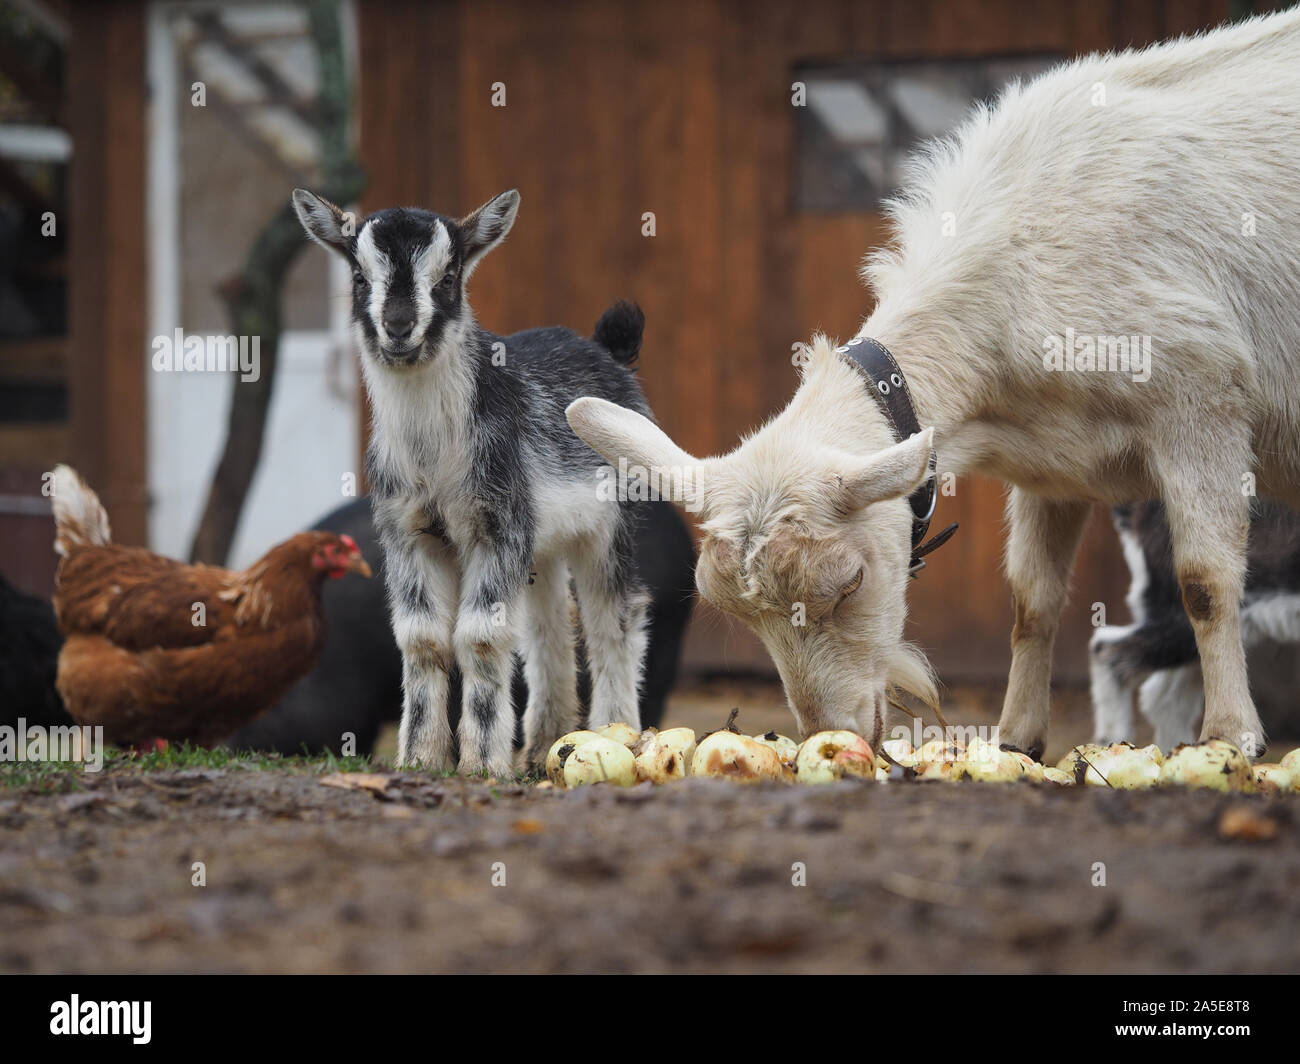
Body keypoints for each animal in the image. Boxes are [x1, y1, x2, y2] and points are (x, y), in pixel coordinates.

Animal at [293, 189, 653, 774]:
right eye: (360, 276)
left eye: (447, 277)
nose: (398, 327)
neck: (435, 454)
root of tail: (605, 350)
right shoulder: (407, 532)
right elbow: (422, 639)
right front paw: (420, 757)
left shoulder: (497, 528)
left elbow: (480, 638)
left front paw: (483, 762)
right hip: (543, 546)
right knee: (549, 628)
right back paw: (543, 747)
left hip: (612, 525)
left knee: (612, 621)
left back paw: (614, 731)